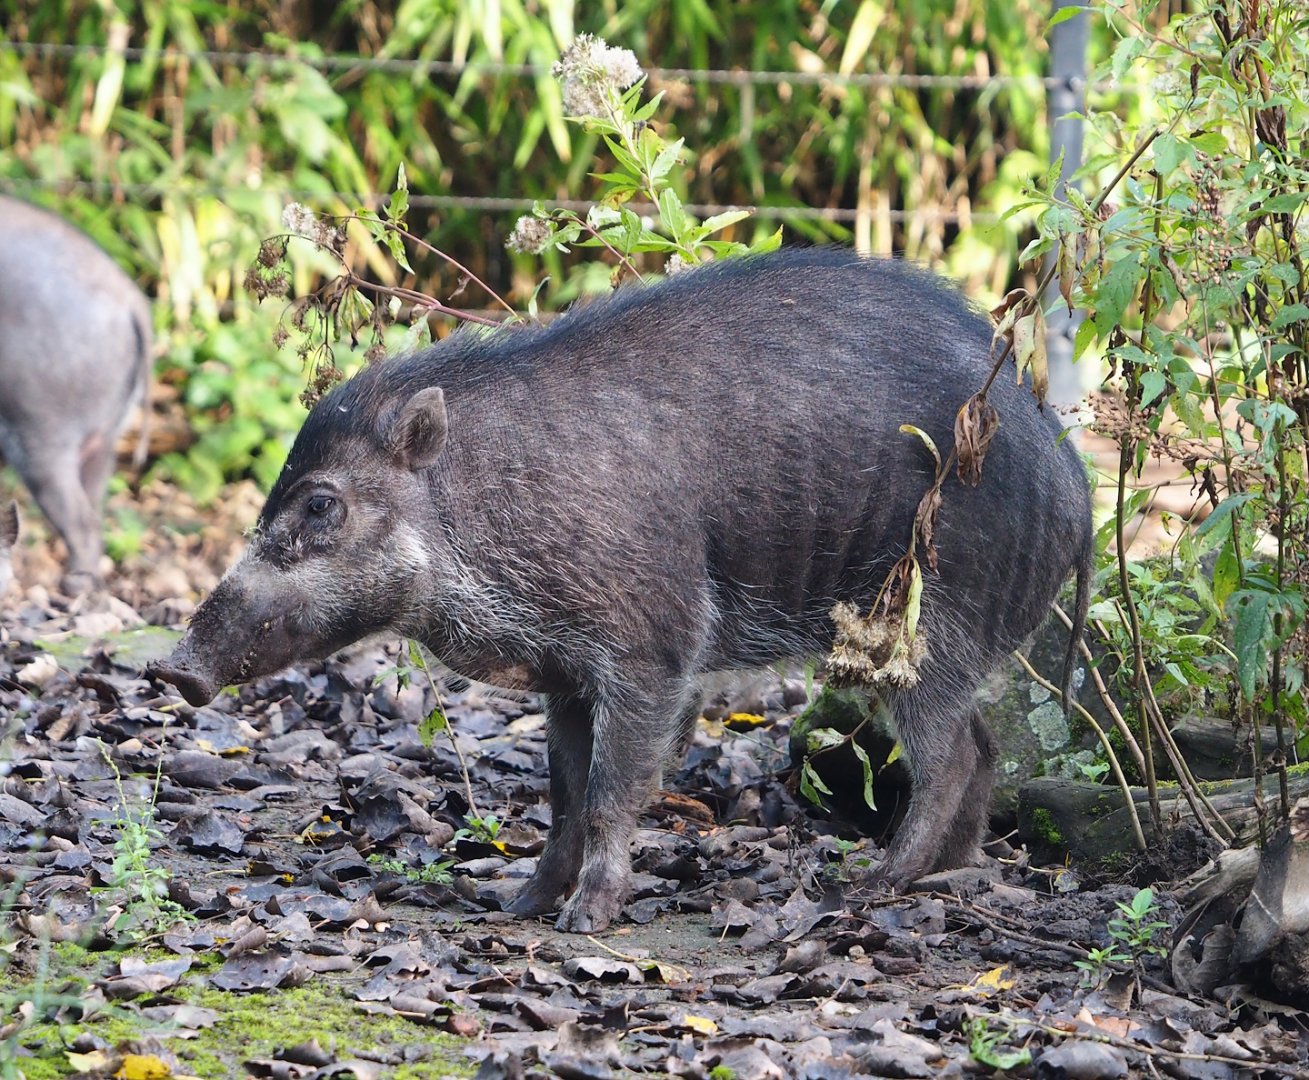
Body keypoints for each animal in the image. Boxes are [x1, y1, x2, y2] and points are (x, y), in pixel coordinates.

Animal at [0, 195, 152, 592]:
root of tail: (132, 303)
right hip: (104, 439)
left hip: (42, 432)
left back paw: (69, 590)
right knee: (95, 507)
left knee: (81, 521)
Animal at [149, 248, 1093, 933]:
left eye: (320, 504)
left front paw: (585, 923)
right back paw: (949, 874)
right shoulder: (563, 672)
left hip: (936, 617)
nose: (170, 667)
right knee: (985, 746)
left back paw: (871, 885)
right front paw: (519, 906)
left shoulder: (652, 645)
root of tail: (1076, 489)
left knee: (952, 754)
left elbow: (612, 790)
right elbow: (563, 794)